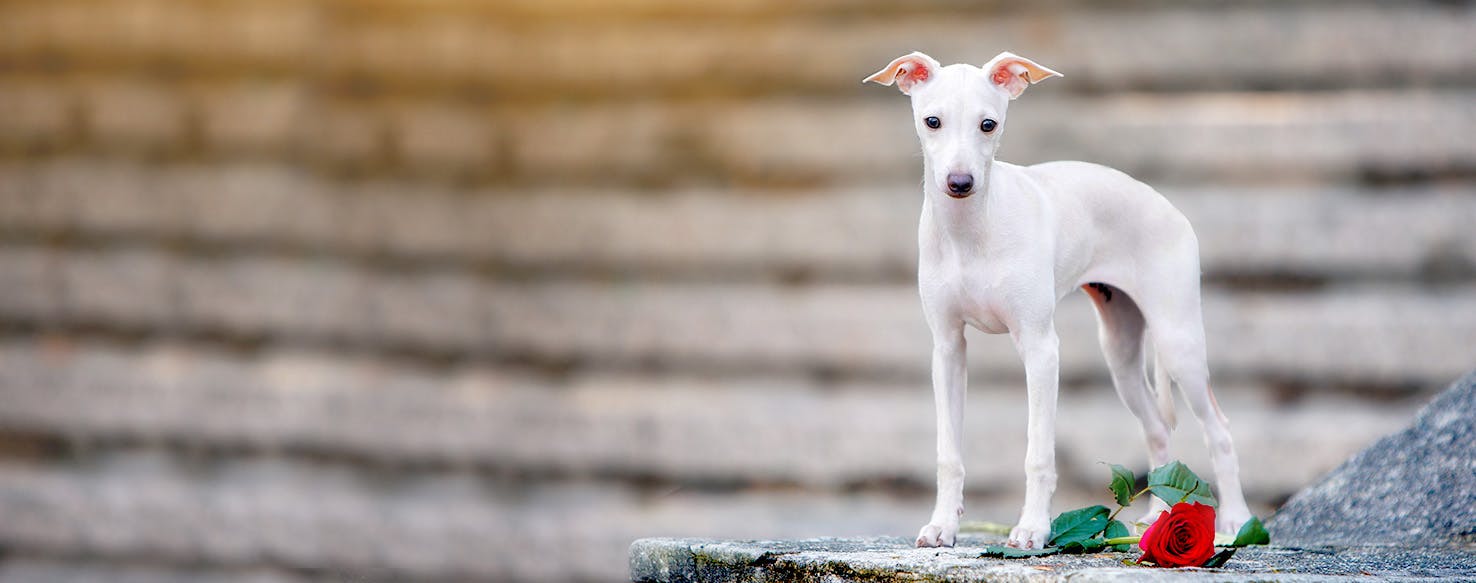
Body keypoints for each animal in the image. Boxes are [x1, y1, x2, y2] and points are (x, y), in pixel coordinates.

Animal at [861, 52, 1257, 549]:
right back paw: (1155, 518)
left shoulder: (1040, 349)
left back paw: (1237, 523)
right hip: (1121, 355)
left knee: (1219, 430)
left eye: (988, 124)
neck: (972, 230)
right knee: (1157, 430)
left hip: (1178, 341)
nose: (960, 182)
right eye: (932, 121)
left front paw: (1033, 528)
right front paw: (943, 525)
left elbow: (1038, 454)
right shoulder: (948, 349)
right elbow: (948, 453)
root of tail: (1168, 206)